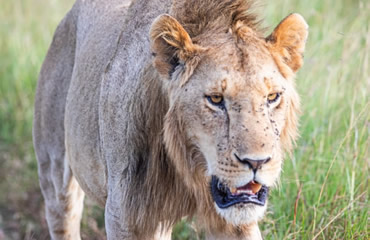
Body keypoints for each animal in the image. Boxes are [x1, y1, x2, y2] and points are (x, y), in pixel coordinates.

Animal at [33, 0, 308, 239]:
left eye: (272, 97)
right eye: (216, 99)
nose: (257, 162)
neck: (186, 165)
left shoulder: (235, 221)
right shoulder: (126, 216)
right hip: (55, 169)